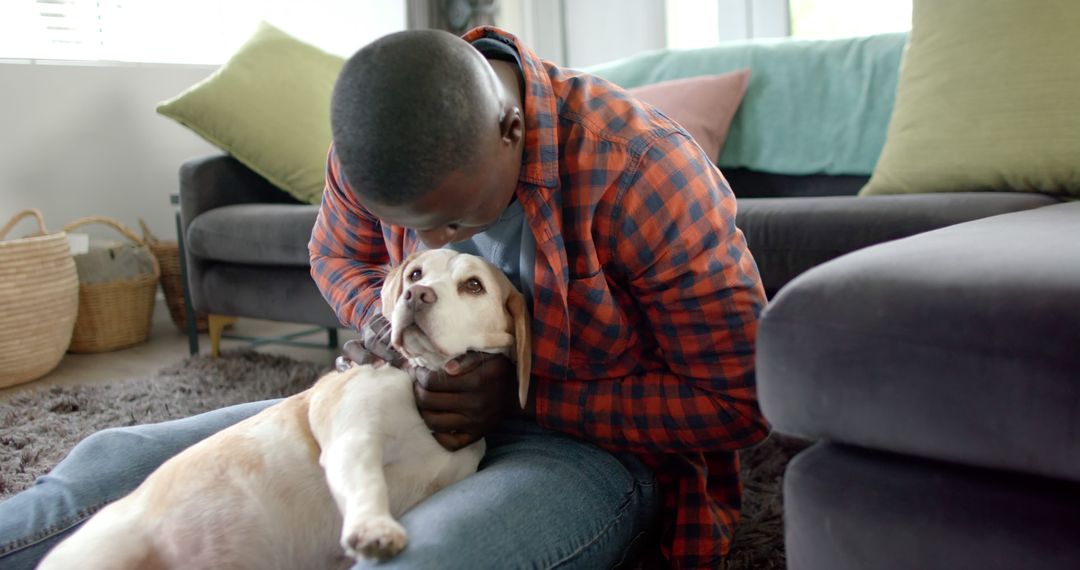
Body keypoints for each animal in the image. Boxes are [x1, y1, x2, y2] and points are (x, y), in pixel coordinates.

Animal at [39, 249, 529, 570]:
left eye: (473, 285)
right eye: (414, 274)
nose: (417, 295)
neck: (418, 379)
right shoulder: (352, 440)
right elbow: (368, 483)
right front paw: (373, 528)